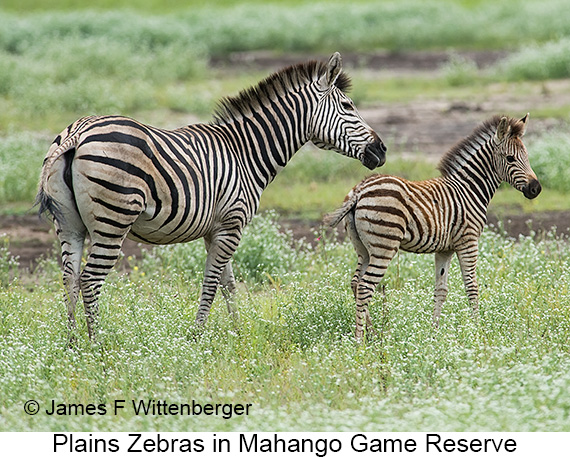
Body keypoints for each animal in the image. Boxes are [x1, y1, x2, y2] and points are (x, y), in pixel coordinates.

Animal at [36, 52, 386, 338]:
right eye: (348, 106)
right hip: (113, 220)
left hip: (69, 224)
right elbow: (212, 282)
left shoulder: (217, 229)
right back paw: (98, 347)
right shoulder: (233, 224)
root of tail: (79, 132)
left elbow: (228, 283)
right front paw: (199, 334)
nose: (381, 150)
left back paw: (72, 345)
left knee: (69, 278)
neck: (245, 153)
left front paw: (238, 334)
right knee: (90, 281)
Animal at [326, 113, 540, 338]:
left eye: (526, 157)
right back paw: (360, 339)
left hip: (363, 248)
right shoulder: (468, 241)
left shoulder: (445, 249)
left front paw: (434, 332)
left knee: (355, 283)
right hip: (384, 246)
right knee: (365, 287)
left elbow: (441, 289)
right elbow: (472, 287)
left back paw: (373, 332)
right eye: (510, 159)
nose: (536, 189)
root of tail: (360, 190)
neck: (468, 189)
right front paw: (477, 330)